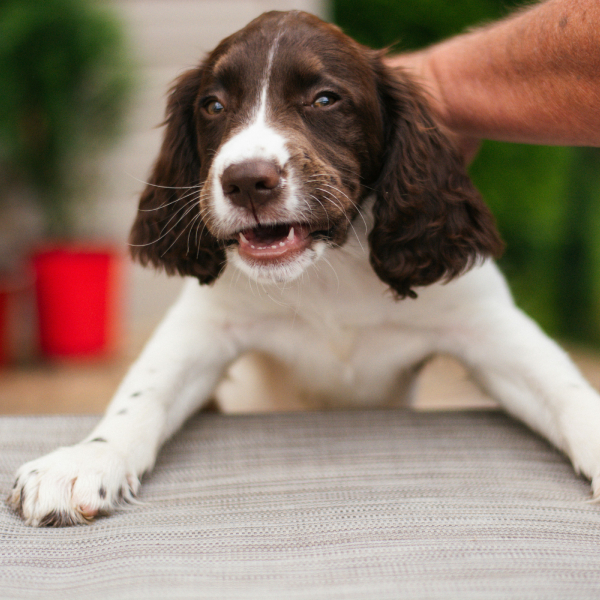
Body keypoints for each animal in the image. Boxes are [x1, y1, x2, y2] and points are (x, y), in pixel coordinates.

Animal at [8, 9, 600, 524]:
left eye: (325, 99)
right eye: (214, 106)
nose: (247, 181)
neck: (327, 269)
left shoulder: (486, 325)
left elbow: (565, 390)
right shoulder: (204, 325)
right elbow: (142, 394)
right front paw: (84, 460)